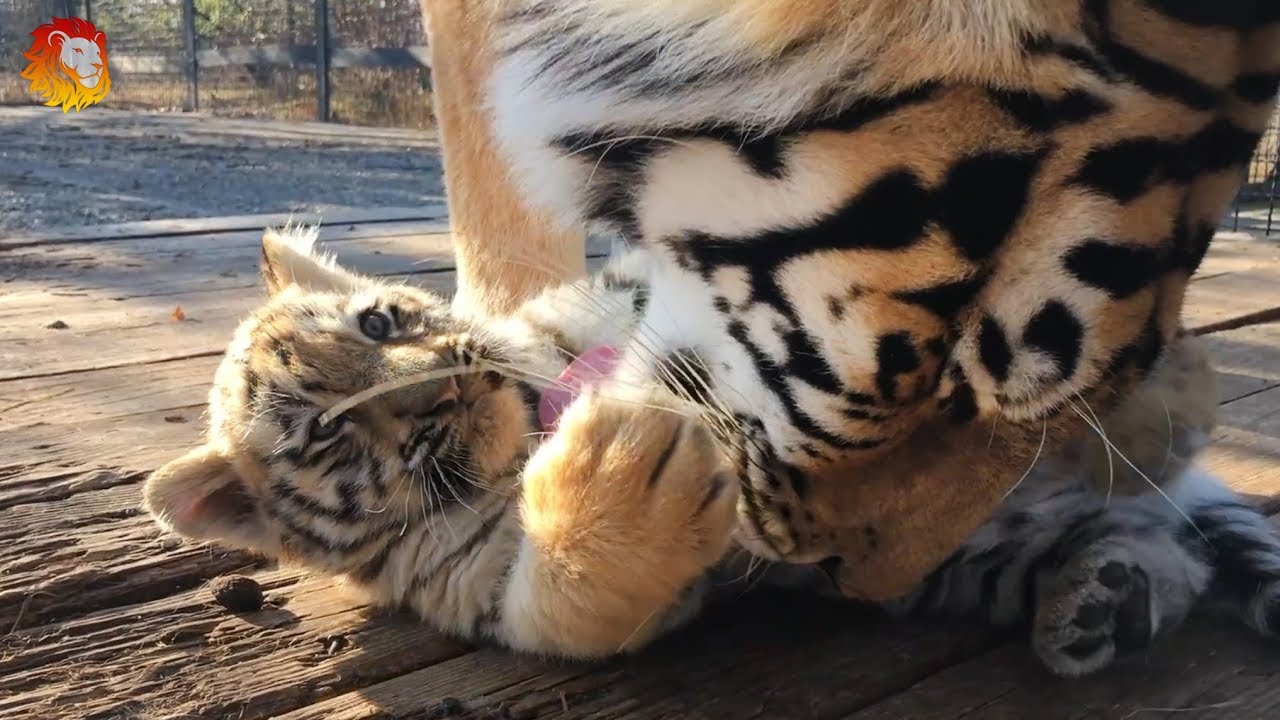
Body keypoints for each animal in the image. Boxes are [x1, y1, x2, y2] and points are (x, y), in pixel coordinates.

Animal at [145, 225, 1280, 677]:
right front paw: (625, 465)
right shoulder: (488, 589)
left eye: (380, 323)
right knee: (1157, 547)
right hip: (968, 561)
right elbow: (565, 601)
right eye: (330, 429)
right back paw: (1102, 604)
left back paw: (1164, 396)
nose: (449, 385)